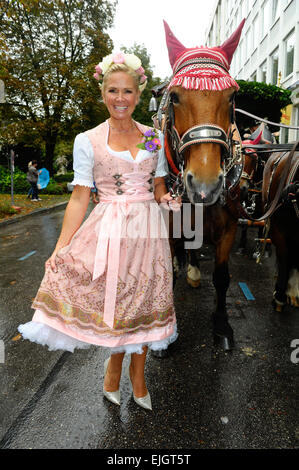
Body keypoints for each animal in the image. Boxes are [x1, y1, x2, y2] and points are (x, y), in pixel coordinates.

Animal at [164, 20, 246, 348]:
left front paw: (222, 324)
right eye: (174, 96)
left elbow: (222, 278)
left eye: (232, 98)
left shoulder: (229, 227)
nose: (205, 186)